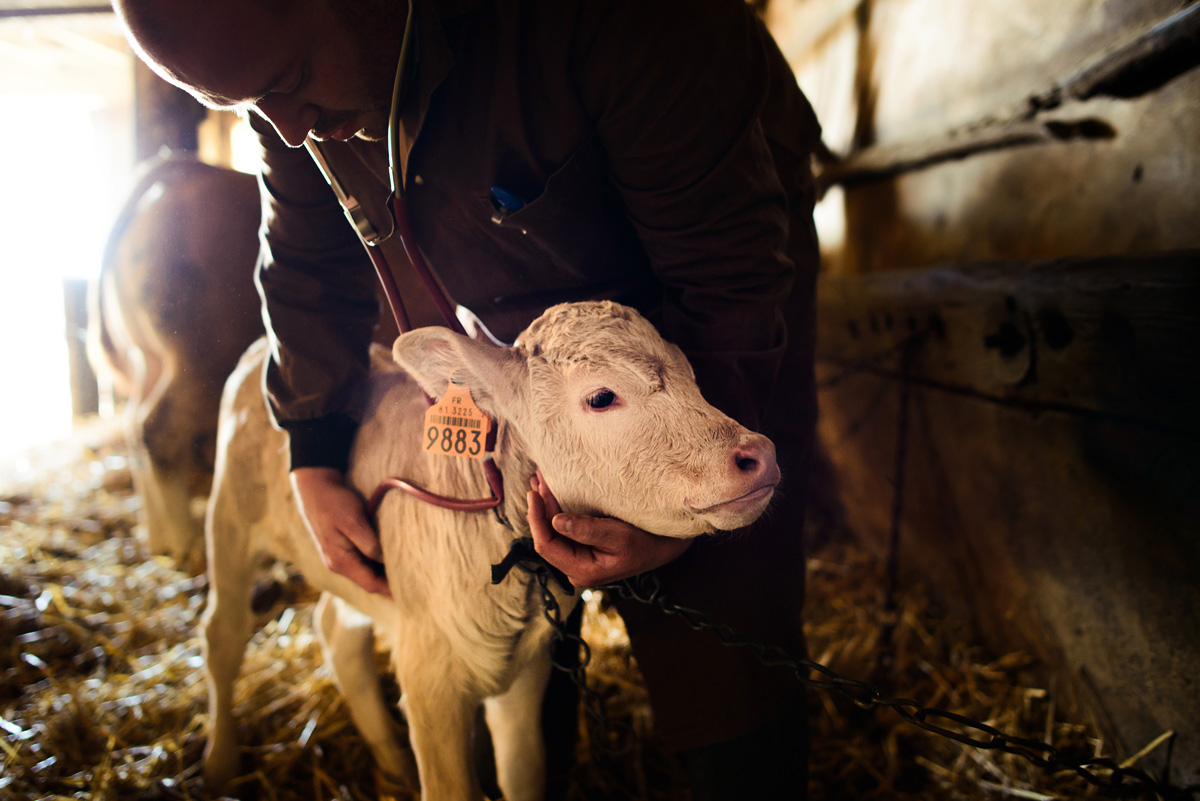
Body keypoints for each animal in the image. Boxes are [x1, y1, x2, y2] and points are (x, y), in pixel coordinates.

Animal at [88, 153, 265, 573]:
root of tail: (177, 167)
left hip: (150, 360)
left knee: (134, 424)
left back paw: (159, 539)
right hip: (198, 364)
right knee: (157, 430)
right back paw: (188, 546)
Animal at [199, 302, 777, 801]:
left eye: (691, 375)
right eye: (601, 397)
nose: (759, 455)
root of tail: (260, 348)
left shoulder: (524, 672)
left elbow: (523, 773)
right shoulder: (428, 679)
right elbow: (452, 789)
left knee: (335, 628)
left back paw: (393, 765)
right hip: (228, 518)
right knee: (222, 633)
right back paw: (220, 765)